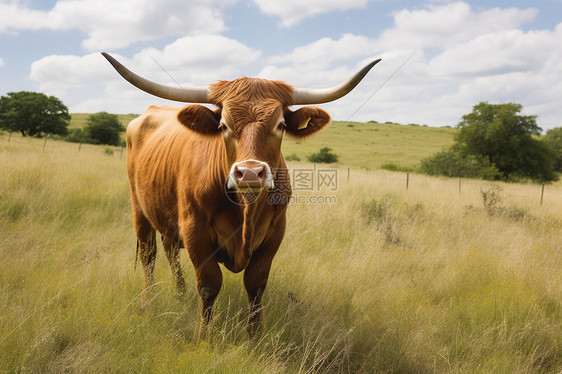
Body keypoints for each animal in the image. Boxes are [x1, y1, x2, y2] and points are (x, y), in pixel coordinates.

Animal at [101, 51, 380, 334]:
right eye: (223, 126)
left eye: (280, 125)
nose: (250, 173)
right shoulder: (194, 229)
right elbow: (209, 284)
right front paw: (205, 334)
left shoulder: (275, 232)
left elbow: (256, 285)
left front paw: (254, 336)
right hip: (139, 209)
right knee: (149, 256)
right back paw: (149, 300)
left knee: (170, 252)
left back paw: (179, 294)